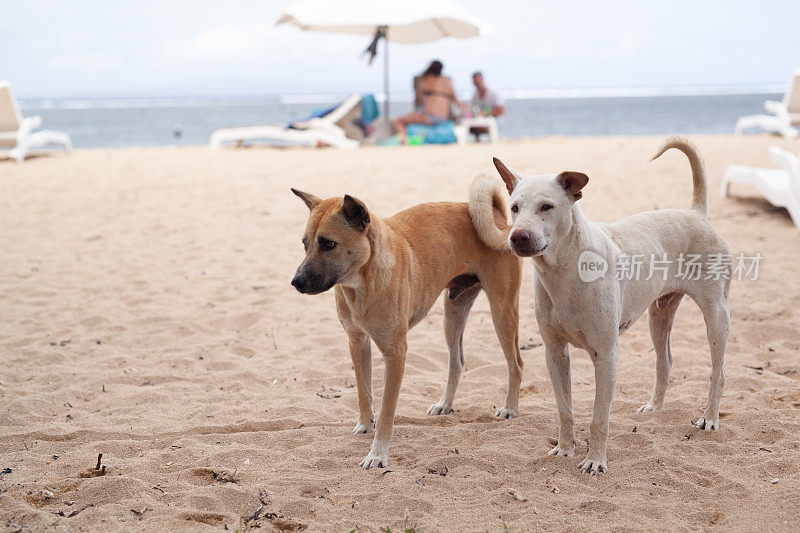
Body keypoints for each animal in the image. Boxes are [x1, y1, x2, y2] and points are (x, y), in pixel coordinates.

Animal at [290, 175, 520, 466]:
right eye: (304, 243)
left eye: (329, 244)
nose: (296, 282)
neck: (362, 285)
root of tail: (497, 216)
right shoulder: (357, 343)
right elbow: (364, 393)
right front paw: (365, 425)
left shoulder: (396, 353)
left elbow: (387, 410)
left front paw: (378, 453)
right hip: (453, 314)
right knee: (457, 362)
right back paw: (445, 404)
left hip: (502, 313)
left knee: (516, 364)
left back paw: (510, 407)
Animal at [490, 137, 728, 474]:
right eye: (514, 208)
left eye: (547, 207)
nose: (518, 237)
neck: (563, 272)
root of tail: (696, 215)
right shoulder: (555, 354)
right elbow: (565, 410)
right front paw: (565, 449)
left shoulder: (606, 356)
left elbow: (599, 418)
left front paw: (595, 460)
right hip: (659, 314)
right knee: (665, 361)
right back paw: (654, 407)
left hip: (716, 315)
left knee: (718, 372)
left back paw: (709, 418)